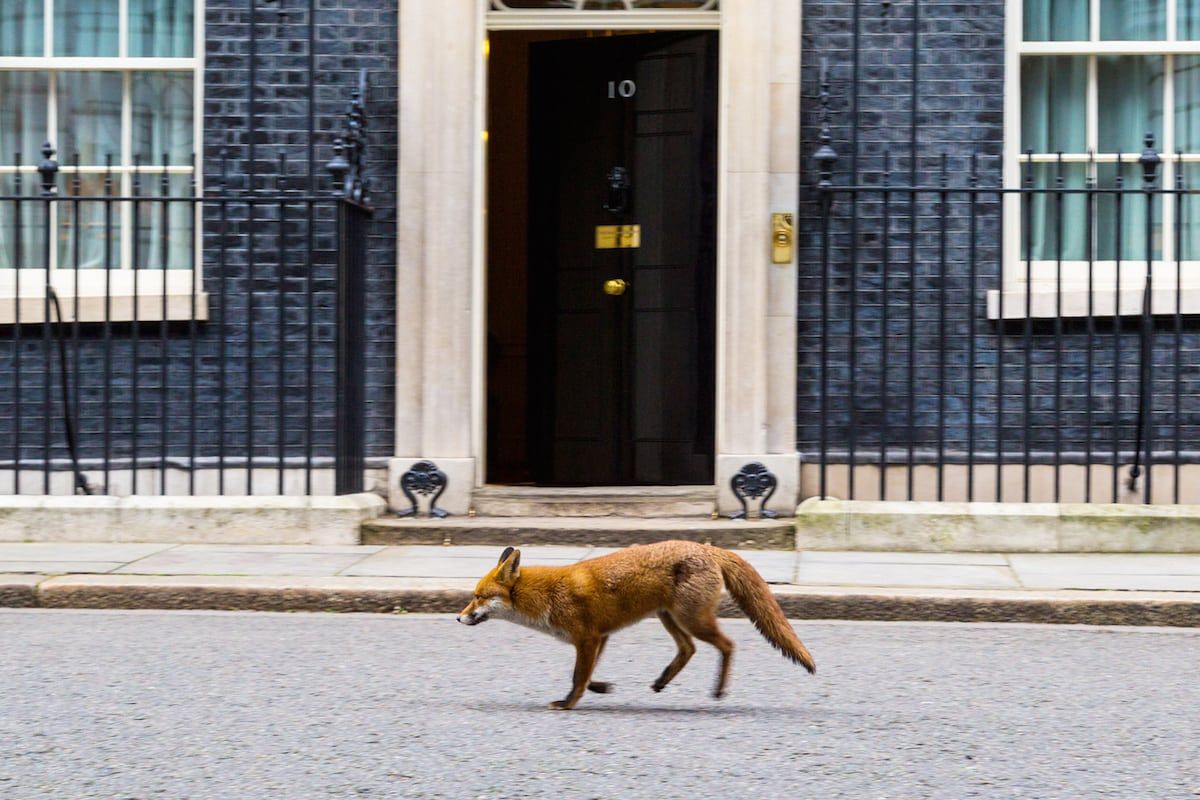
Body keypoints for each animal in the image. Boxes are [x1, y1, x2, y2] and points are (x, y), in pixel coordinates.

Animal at [456, 542, 816, 710]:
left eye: (477, 597)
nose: (458, 618)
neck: (546, 595)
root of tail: (707, 547)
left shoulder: (587, 638)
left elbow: (577, 677)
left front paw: (567, 704)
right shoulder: (599, 638)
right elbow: (587, 676)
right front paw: (600, 688)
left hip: (692, 620)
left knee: (727, 645)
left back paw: (718, 689)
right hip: (670, 618)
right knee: (688, 649)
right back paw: (662, 682)